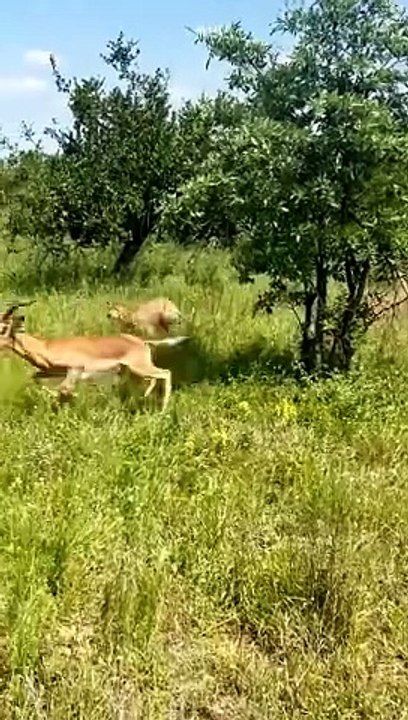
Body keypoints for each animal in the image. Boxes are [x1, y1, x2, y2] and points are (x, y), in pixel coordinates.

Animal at [0, 303, 189, 411]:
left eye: (3, 328)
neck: (46, 347)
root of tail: (142, 341)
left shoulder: (75, 369)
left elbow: (64, 389)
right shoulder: (53, 372)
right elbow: (35, 378)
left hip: (139, 367)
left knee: (166, 373)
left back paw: (162, 410)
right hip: (134, 370)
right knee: (154, 378)